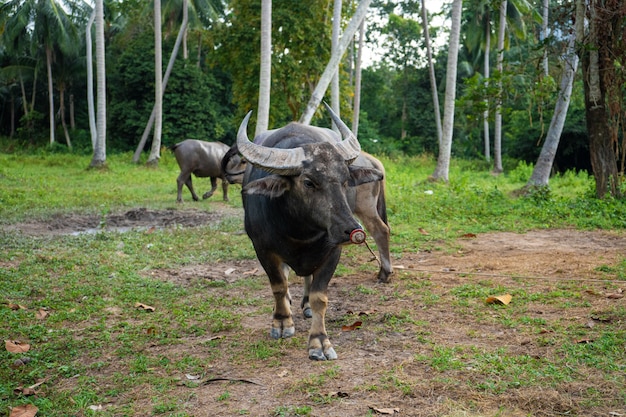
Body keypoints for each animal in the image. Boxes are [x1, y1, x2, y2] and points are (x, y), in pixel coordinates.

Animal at [236, 105, 386, 360]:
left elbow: (319, 297)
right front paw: (282, 323)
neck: (300, 231)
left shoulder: (332, 251)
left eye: (345, 180)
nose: (352, 229)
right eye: (308, 182)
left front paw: (319, 342)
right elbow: (278, 285)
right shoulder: (263, 248)